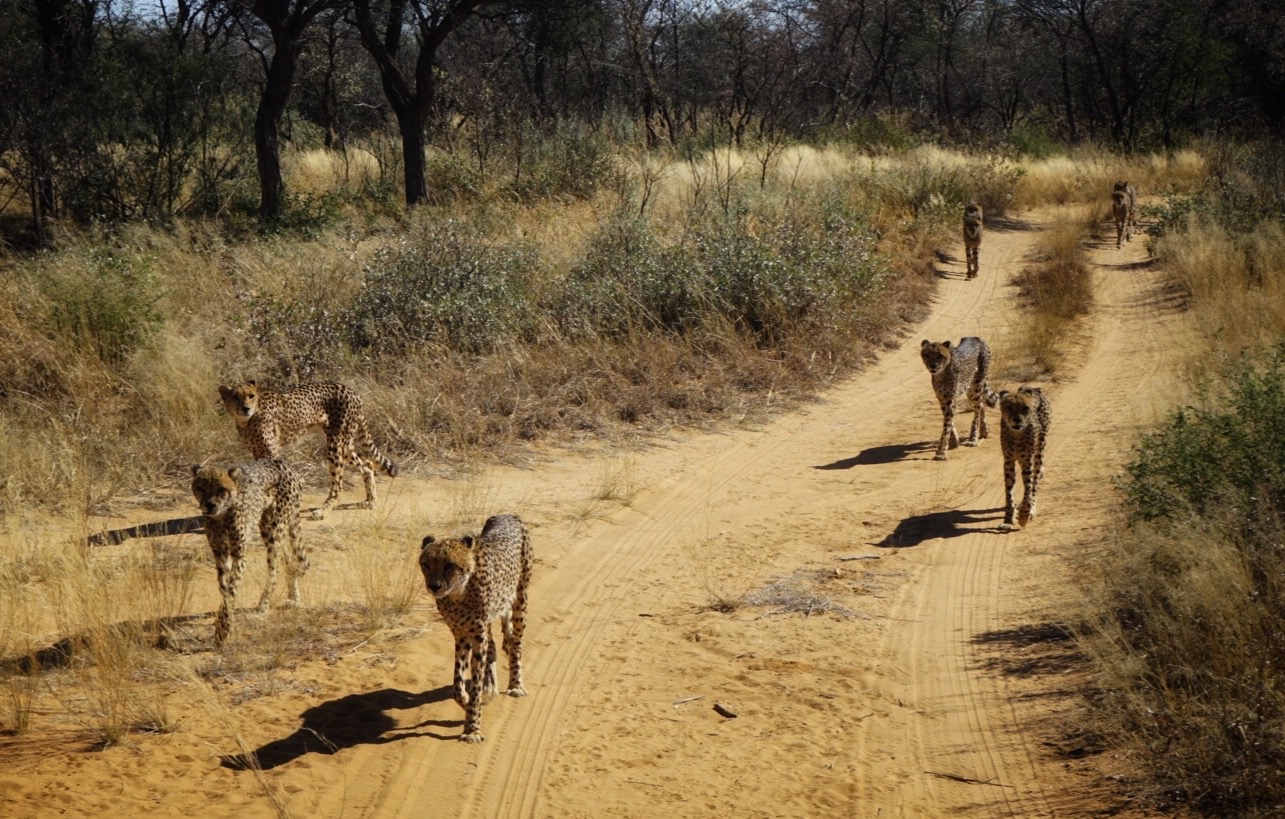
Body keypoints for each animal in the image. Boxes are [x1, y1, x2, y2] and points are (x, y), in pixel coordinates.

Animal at [190, 457, 305, 642]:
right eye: (201, 487)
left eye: (221, 489)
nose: (209, 505)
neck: (222, 515)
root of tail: (282, 462)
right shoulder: (220, 553)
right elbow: (224, 589)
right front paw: (225, 623)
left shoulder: (239, 554)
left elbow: (232, 588)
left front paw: (224, 627)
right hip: (266, 527)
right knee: (288, 560)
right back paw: (294, 597)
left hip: (275, 530)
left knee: (274, 571)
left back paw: (264, 605)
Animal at [218, 380, 395, 519]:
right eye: (235, 397)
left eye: (251, 396)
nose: (245, 408)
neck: (247, 420)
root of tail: (352, 391)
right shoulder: (258, 453)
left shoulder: (271, 453)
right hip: (345, 444)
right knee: (367, 465)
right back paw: (370, 501)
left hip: (335, 443)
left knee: (338, 484)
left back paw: (323, 510)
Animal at [421, 514, 531, 745]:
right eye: (426, 564)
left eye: (449, 565)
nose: (434, 586)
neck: (458, 593)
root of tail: (507, 514)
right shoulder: (461, 634)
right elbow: (457, 683)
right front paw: (469, 700)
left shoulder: (477, 635)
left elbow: (476, 677)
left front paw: (472, 728)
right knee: (494, 647)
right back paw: (491, 687)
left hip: (520, 599)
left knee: (516, 644)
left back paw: (515, 685)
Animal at [997, 385, 1048, 529]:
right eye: (1009, 407)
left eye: (1025, 407)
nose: (1017, 419)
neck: (1017, 435)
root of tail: (1031, 387)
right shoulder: (1008, 461)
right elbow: (1009, 492)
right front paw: (1008, 519)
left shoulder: (1027, 461)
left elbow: (1028, 489)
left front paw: (1024, 515)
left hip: (1039, 452)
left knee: (1035, 483)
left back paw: (1032, 509)